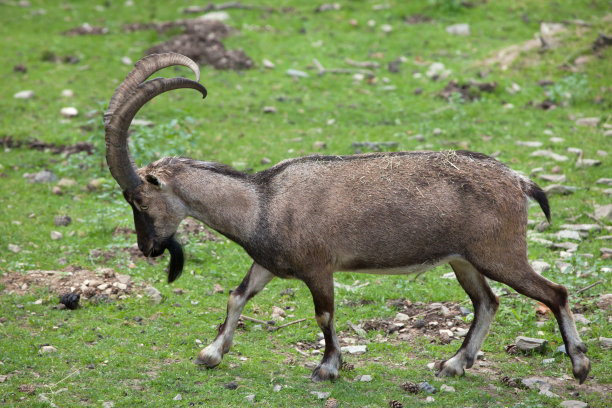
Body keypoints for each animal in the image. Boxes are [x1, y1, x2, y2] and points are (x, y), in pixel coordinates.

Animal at [105, 53, 592, 382]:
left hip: (500, 253)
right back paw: (454, 363)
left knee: (555, 292)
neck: (261, 203)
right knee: (487, 301)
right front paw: (211, 353)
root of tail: (519, 182)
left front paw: (327, 367)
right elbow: (237, 295)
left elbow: (324, 315)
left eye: (139, 200)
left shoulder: (319, 267)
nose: (148, 248)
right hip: (463, 259)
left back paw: (580, 364)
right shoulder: (268, 263)